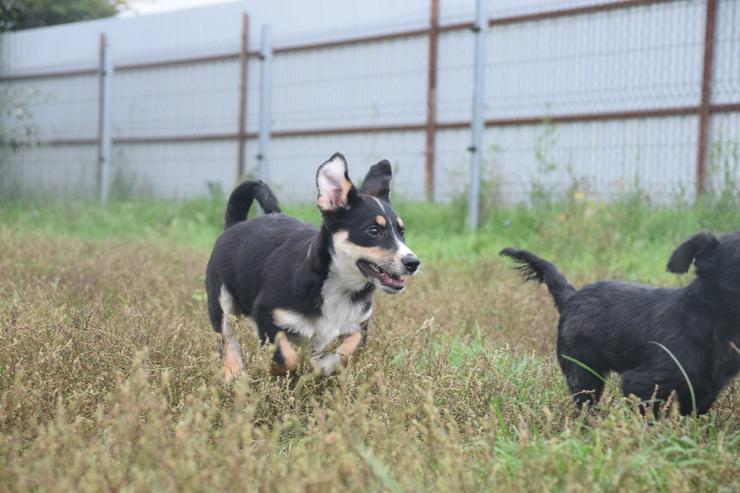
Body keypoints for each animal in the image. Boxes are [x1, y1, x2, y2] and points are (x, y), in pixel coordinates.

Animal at [205, 153, 420, 380]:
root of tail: (234, 225)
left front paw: (320, 366)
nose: (413, 263)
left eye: (402, 231)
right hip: (221, 302)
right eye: (373, 231)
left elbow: (346, 352)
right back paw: (234, 374)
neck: (337, 287)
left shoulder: (359, 324)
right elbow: (286, 357)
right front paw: (284, 372)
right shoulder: (266, 315)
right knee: (227, 338)